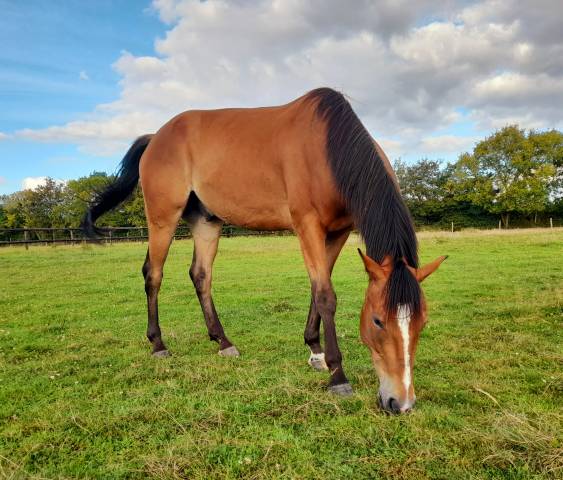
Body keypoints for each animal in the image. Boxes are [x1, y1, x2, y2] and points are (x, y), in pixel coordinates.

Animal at [83, 88, 448, 414]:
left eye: (423, 321)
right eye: (377, 320)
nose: (401, 402)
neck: (329, 149)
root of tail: (156, 137)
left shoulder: (339, 232)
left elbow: (318, 288)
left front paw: (315, 350)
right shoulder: (307, 225)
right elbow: (326, 294)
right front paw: (337, 375)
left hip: (206, 222)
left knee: (201, 275)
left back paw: (223, 341)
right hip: (162, 218)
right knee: (154, 274)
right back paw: (158, 344)